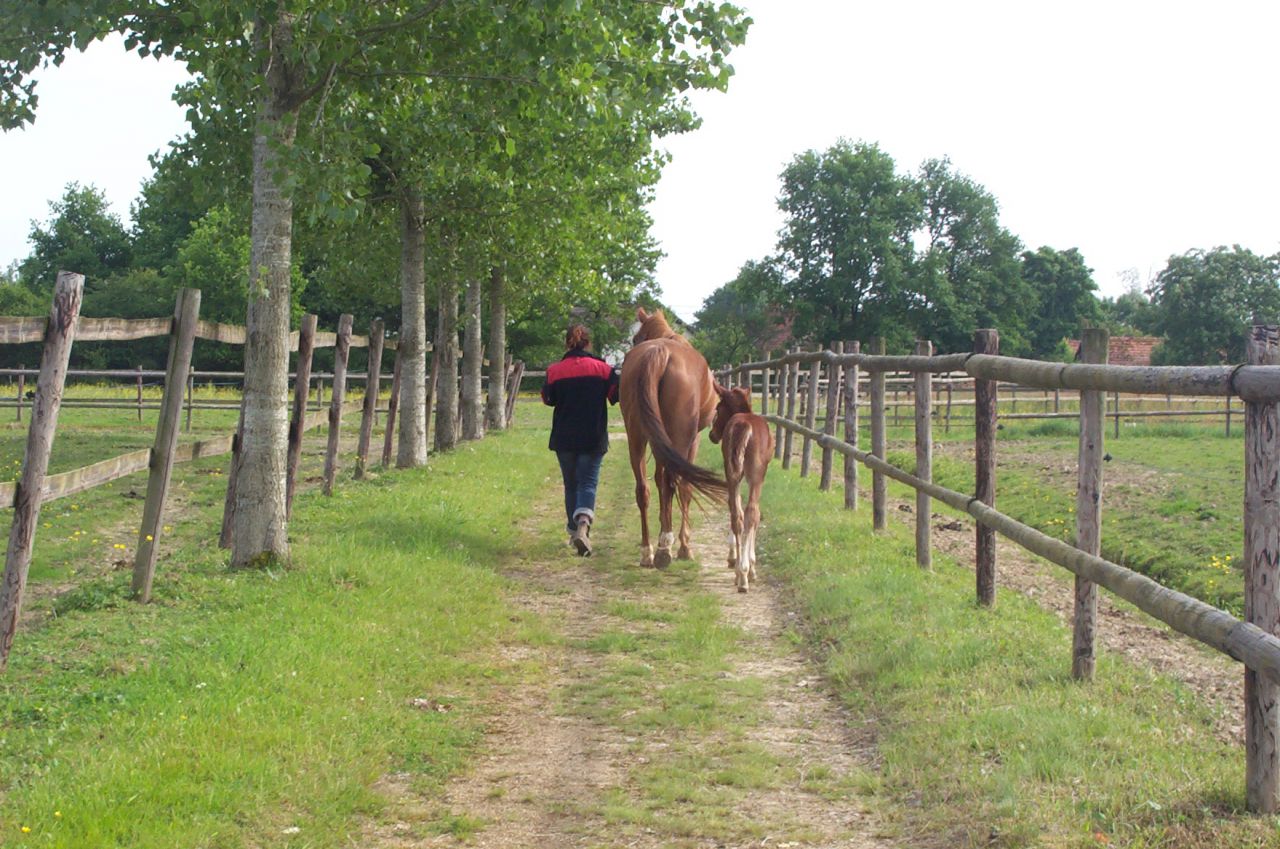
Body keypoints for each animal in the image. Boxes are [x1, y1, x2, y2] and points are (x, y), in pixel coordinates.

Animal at [619, 307, 726, 568]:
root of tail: (659, 353)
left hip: (636, 437)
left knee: (643, 488)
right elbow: (683, 487)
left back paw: (648, 551)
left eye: (635, 338)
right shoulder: (693, 440)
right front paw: (683, 545)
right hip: (680, 436)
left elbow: (658, 480)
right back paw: (666, 548)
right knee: (674, 480)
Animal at [709, 384, 775, 593]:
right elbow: (755, 515)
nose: (712, 435)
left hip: (731, 472)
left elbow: (735, 505)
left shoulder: (733, 476)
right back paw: (745, 575)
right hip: (755, 476)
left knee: (735, 515)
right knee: (751, 513)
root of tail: (744, 426)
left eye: (718, 407)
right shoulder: (757, 478)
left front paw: (733, 559)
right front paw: (751, 566)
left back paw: (739, 573)